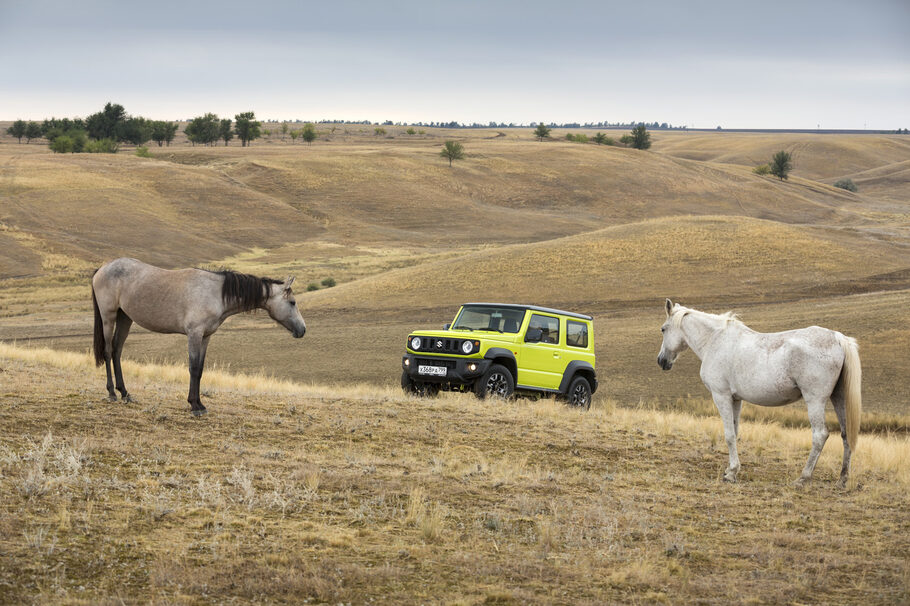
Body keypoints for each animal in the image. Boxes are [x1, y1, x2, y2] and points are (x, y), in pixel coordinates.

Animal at [92, 256, 308, 418]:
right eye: (292, 302)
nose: (303, 330)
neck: (215, 293)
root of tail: (102, 269)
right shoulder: (194, 335)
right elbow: (193, 368)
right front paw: (195, 406)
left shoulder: (205, 336)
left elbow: (201, 369)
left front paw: (199, 403)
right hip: (109, 316)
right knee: (109, 351)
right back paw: (112, 392)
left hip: (125, 317)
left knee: (117, 350)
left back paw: (125, 393)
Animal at [656, 300, 864, 490]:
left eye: (663, 329)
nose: (661, 361)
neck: (715, 341)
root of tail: (838, 338)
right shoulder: (736, 399)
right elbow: (735, 432)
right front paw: (731, 469)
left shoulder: (721, 396)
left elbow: (729, 435)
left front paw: (731, 474)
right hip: (838, 398)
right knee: (846, 434)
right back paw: (842, 479)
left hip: (815, 401)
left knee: (820, 435)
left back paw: (803, 478)